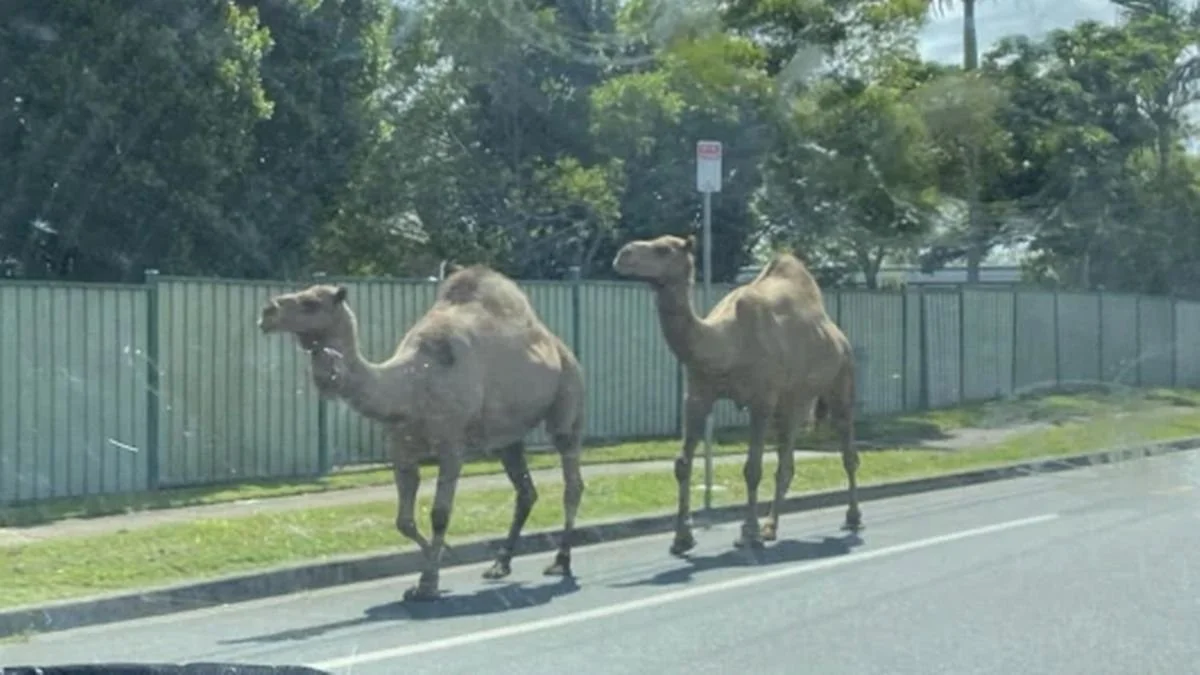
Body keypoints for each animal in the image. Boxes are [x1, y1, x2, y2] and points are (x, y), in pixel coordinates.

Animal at [257, 265, 586, 601]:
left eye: (311, 303)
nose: (267, 312)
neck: (411, 384)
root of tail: (558, 345)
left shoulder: (452, 446)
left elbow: (439, 514)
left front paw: (429, 582)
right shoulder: (401, 448)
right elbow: (403, 521)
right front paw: (438, 563)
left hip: (568, 395)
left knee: (571, 478)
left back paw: (561, 562)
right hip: (508, 437)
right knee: (525, 490)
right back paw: (500, 564)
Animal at [612, 234, 860, 554]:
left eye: (664, 249)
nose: (622, 254)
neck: (725, 345)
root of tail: (838, 336)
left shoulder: (761, 400)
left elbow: (752, 469)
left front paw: (747, 534)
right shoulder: (697, 396)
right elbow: (682, 465)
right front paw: (682, 538)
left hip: (841, 380)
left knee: (847, 450)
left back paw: (852, 518)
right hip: (794, 400)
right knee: (786, 461)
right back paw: (771, 528)